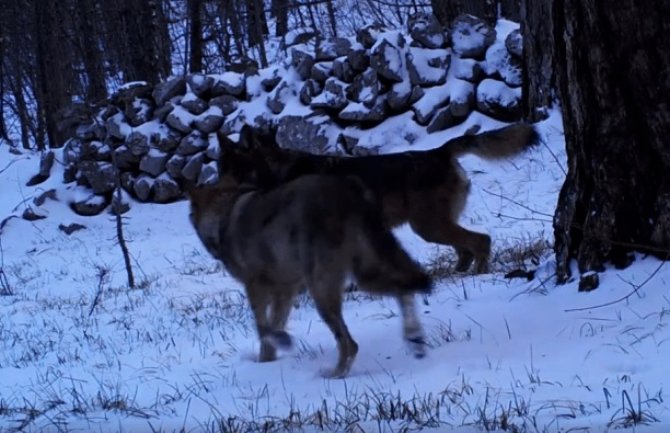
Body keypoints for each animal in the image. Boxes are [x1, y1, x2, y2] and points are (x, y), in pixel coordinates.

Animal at [186, 142, 434, 378]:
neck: (223, 214)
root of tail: (346, 190)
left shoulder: (256, 286)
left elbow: (263, 328)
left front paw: (277, 346)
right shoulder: (285, 290)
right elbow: (272, 328)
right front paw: (268, 362)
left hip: (321, 289)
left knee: (350, 343)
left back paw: (334, 375)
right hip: (364, 277)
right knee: (405, 288)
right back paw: (415, 340)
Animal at [226, 123, 540, 274]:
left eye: (227, 165)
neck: (279, 172)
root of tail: (439, 151)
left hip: (428, 226)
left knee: (480, 241)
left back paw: (479, 273)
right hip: (431, 227)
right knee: (465, 247)